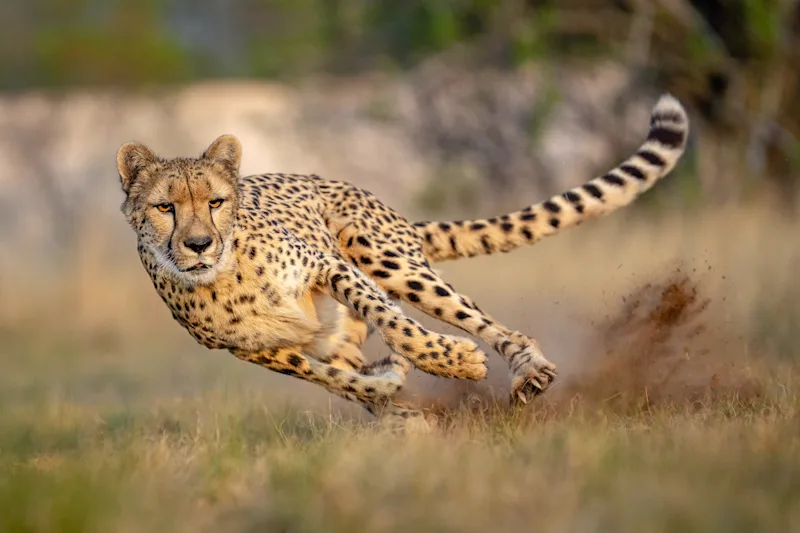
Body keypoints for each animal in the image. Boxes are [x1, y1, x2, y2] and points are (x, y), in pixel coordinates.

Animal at [116, 94, 689, 432]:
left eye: (215, 202)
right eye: (165, 207)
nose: (198, 244)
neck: (226, 275)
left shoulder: (331, 267)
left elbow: (398, 326)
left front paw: (452, 361)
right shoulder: (259, 351)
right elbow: (339, 380)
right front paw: (394, 396)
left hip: (384, 254)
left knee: (482, 322)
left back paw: (526, 368)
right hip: (338, 325)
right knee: (348, 362)